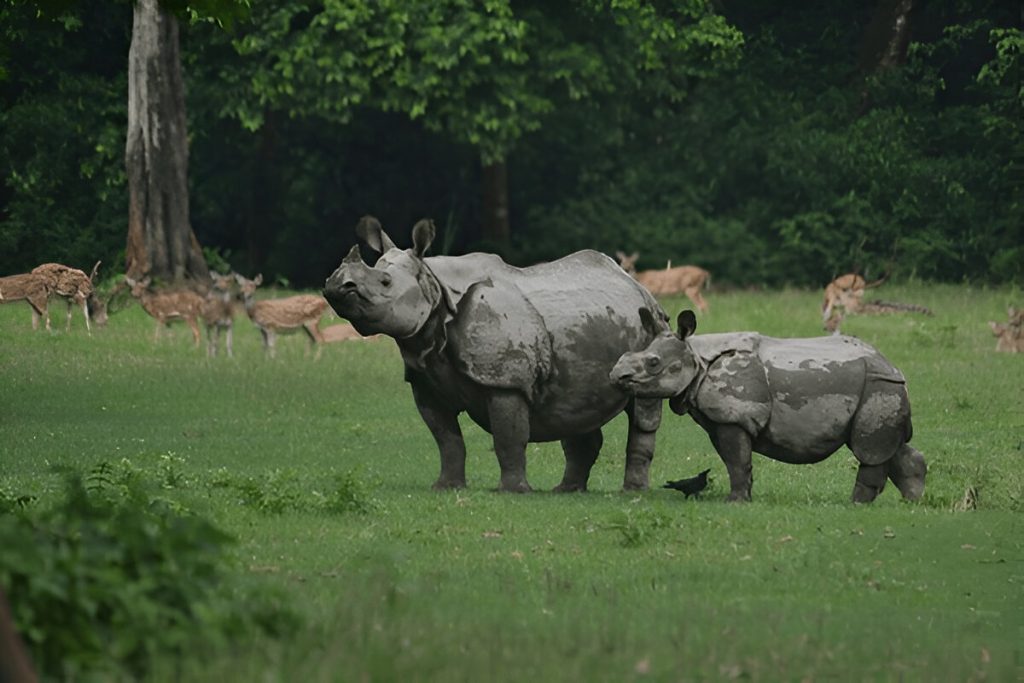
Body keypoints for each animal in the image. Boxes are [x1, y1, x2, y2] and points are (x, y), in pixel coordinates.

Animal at [323, 217, 669, 493]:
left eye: (385, 282)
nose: (335, 288)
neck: (434, 287)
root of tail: (636, 284)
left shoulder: (505, 379)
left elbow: (507, 437)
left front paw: (513, 491)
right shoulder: (425, 382)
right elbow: (447, 439)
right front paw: (446, 487)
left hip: (651, 329)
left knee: (643, 409)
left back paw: (631, 491)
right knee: (574, 406)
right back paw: (567, 490)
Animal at [609, 309, 927, 503]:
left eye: (653, 363)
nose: (616, 376)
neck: (695, 357)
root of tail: (894, 367)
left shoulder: (733, 416)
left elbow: (737, 460)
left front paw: (734, 502)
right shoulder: (721, 419)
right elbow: (735, 460)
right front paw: (744, 497)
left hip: (879, 384)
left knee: (869, 449)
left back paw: (855, 504)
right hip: (881, 386)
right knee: (888, 447)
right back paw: (911, 501)